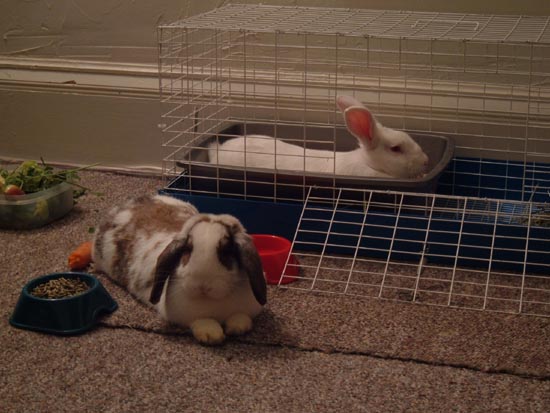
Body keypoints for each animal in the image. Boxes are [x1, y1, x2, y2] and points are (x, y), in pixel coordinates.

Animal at [92, 193, 268, 344]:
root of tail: (122, 206)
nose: (202, 286)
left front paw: (237, 327)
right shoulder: (186, 316)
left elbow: (242, 317)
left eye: (227, 251)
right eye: (187, 249)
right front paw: (212, 335)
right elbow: (201, 321)